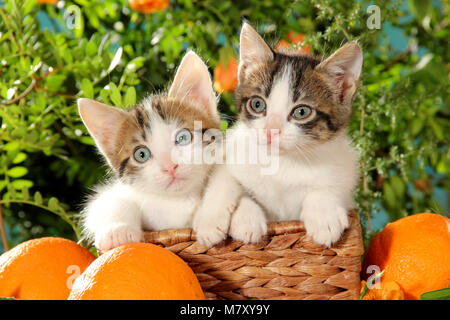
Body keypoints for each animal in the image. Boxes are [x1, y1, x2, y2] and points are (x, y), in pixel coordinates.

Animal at [79, 52, 220, 252]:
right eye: (141, 155)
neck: (179, 200)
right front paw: (117, 231)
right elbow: (107, 203)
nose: (170, 167)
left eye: (183, 138)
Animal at [194, 23, 362, 248]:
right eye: (258, 104)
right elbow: (224, 179)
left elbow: (331, 185)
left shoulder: (343, 168)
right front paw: (219, 220)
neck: (283, 163)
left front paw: (324, 216)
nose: (270, 130)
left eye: (302, 111)